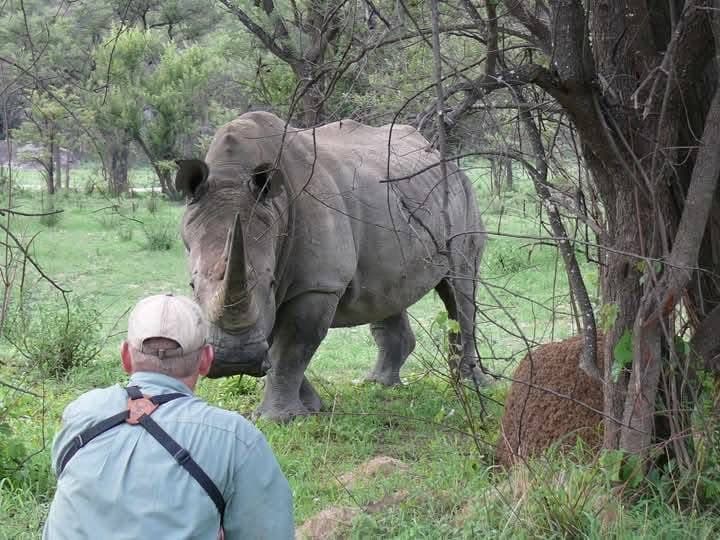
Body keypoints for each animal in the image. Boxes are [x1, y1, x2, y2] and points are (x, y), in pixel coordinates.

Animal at [176, 111, 487, 420]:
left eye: (270, 282)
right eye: (192, 286)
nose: (234, 361)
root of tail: (446, 160)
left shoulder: (317, 285)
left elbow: (290, 348)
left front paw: (279, 418)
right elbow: (277, 345)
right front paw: (311, 408)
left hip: (463, 195)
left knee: (460, 287)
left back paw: (471, 384)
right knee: (388, 291)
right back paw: (379, 384)